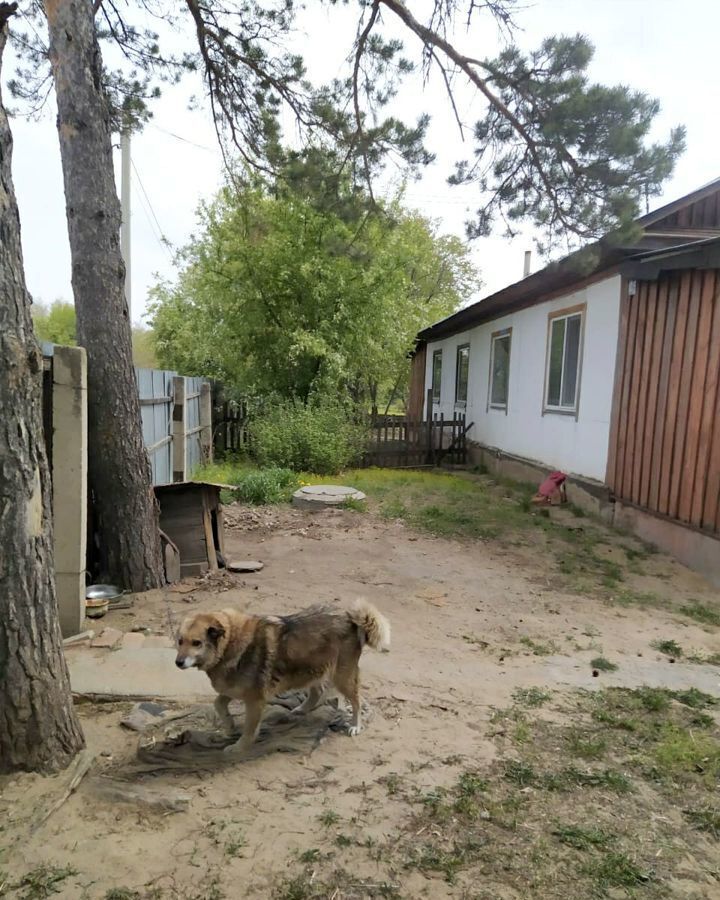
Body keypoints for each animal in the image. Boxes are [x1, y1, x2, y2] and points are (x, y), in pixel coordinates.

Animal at [175, 600, 390, 756]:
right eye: (180, 641)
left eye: (197, 643)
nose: (178, 662)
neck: (230, 642)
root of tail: (350, 618)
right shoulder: (235, 688)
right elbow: (218, 703)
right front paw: (229, 726)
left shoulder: (255, 699)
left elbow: (249, 730)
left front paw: (239, 747)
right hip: (310, 668)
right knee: (318, 691)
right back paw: (300, 709)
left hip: (341, 677)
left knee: (356, 700)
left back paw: (355, 725)